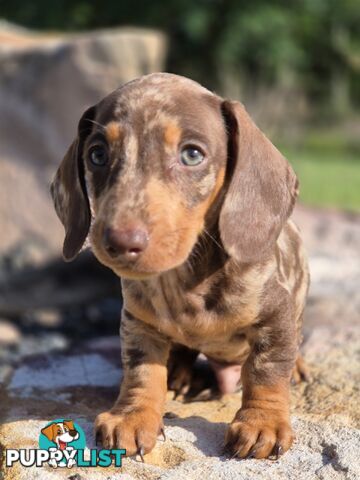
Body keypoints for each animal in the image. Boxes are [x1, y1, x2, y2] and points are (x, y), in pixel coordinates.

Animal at [50, 72, 310, 462]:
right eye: (97, 155)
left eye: (192, 154)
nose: (120, 242)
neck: (184, 279)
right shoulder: (137, 322)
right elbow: (141, 371)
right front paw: (133, 415)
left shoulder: (276, 313)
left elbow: (267, 369)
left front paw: (262, 422)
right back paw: (179, 373)